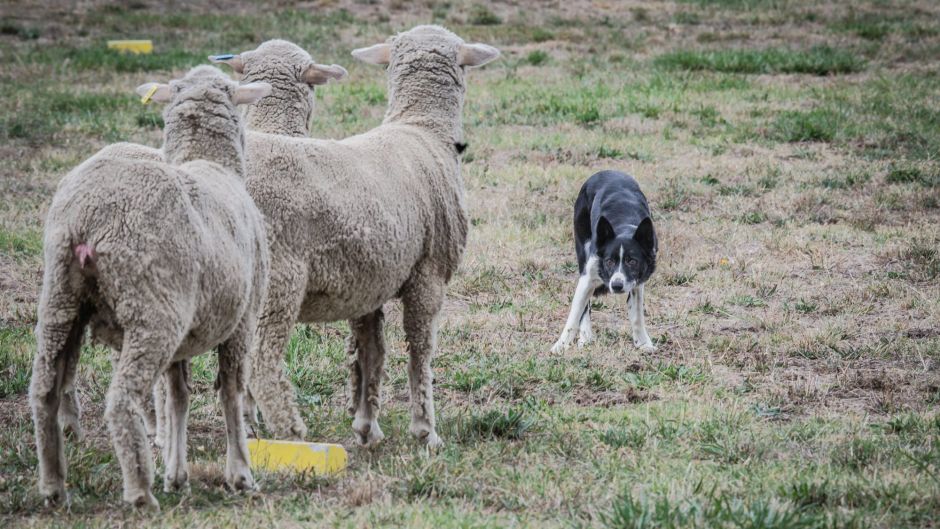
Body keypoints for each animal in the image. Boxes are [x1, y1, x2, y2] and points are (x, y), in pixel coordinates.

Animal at [29, 66, 270, 508]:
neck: (209, 163)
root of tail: (87, 221)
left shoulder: (186, 333)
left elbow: (178, 396)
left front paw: (177, 475)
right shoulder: (242, 320)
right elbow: (229, 392)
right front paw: (240, 473)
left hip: (61, 299)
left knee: (44, 391)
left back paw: (54, 486)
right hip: (152, 310)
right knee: (122, 400)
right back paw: (140, 491)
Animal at [221, 25, 500, 446]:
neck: (420, 128)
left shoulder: (368, 281)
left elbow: (370, 352)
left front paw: (367, 425)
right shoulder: (429, 273)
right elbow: (421, 350)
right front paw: (426, 430)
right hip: (278, 281)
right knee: (260, 363)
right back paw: (291, 432)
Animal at [548, 170, 656, 350]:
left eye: (632, 261)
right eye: (609, 261)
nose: (617, 285)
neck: (624, 228)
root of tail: (607, 171)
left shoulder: (636, 283)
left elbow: (637, 316)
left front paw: (643, 343)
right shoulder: (588, 276)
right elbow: (574, 315)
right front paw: (560, 346)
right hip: (582, 250)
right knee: (584, 307)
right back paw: (585, 336)